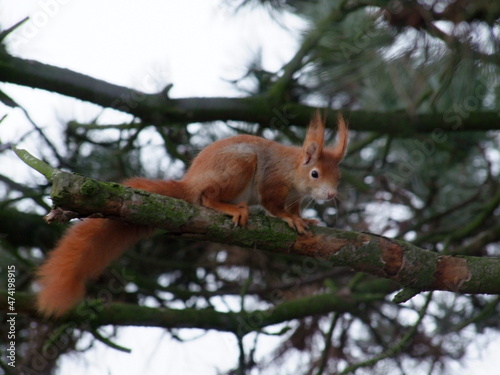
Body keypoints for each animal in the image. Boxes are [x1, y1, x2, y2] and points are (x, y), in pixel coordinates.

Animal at [35, 111, 348, 318]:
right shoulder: (272, 183)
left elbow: (294, 207)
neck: (293, 172)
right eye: (315, 173)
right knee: (206, 197)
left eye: (338, 176)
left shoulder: (296, 197)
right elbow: (274, 205)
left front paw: (304, 218)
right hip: (239, 164)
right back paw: (230, 207)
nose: (331, 195)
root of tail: (190, 182)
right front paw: (290, 219)